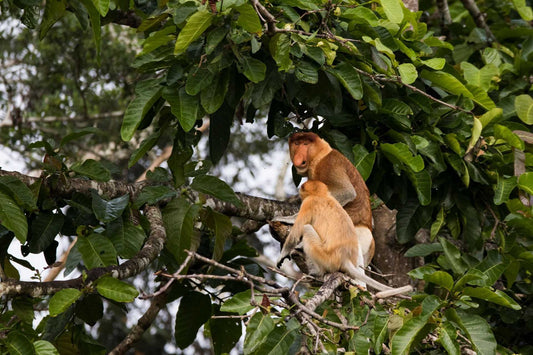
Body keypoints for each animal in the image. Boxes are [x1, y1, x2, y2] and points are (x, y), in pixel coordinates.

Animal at [276, 132, 372, 268]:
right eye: (297, 143)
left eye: (306, 144)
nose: (298, 156)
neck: (320, 155)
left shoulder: (330, 164)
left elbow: (347, 192)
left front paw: (291, 218)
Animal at [278, 181, 412, 298]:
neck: (322, 195)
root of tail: (345, 258)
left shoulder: (308, 203)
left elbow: (295, 234)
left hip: (326, 256)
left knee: (306, 229)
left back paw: (317, 272)